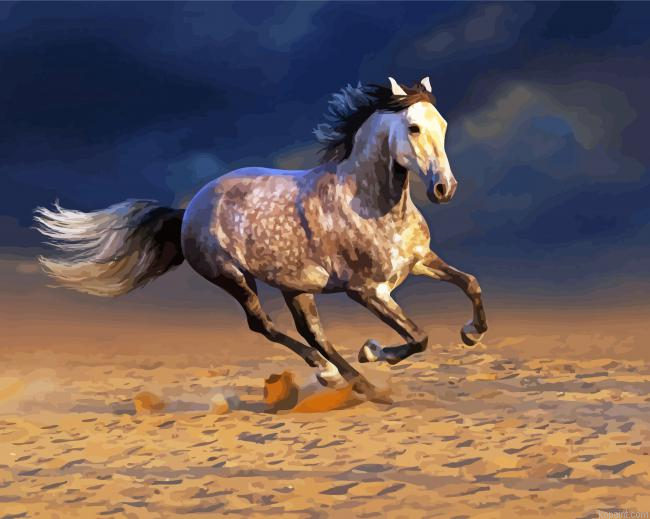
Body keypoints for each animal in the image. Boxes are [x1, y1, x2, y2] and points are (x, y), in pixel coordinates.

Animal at [34, 76, 488, 401]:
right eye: (413, 127)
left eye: (443, 125)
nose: (444, 188)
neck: (370, 203)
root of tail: (188, 210)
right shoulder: (367, 290)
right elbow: (418, 337)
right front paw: (373, 350)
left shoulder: (420, 260)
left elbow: (470, 284)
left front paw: (471, 332)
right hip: (232, 277)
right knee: (264, 325)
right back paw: (341, 377)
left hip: (295, 287)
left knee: (312, 333)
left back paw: (350, 381)